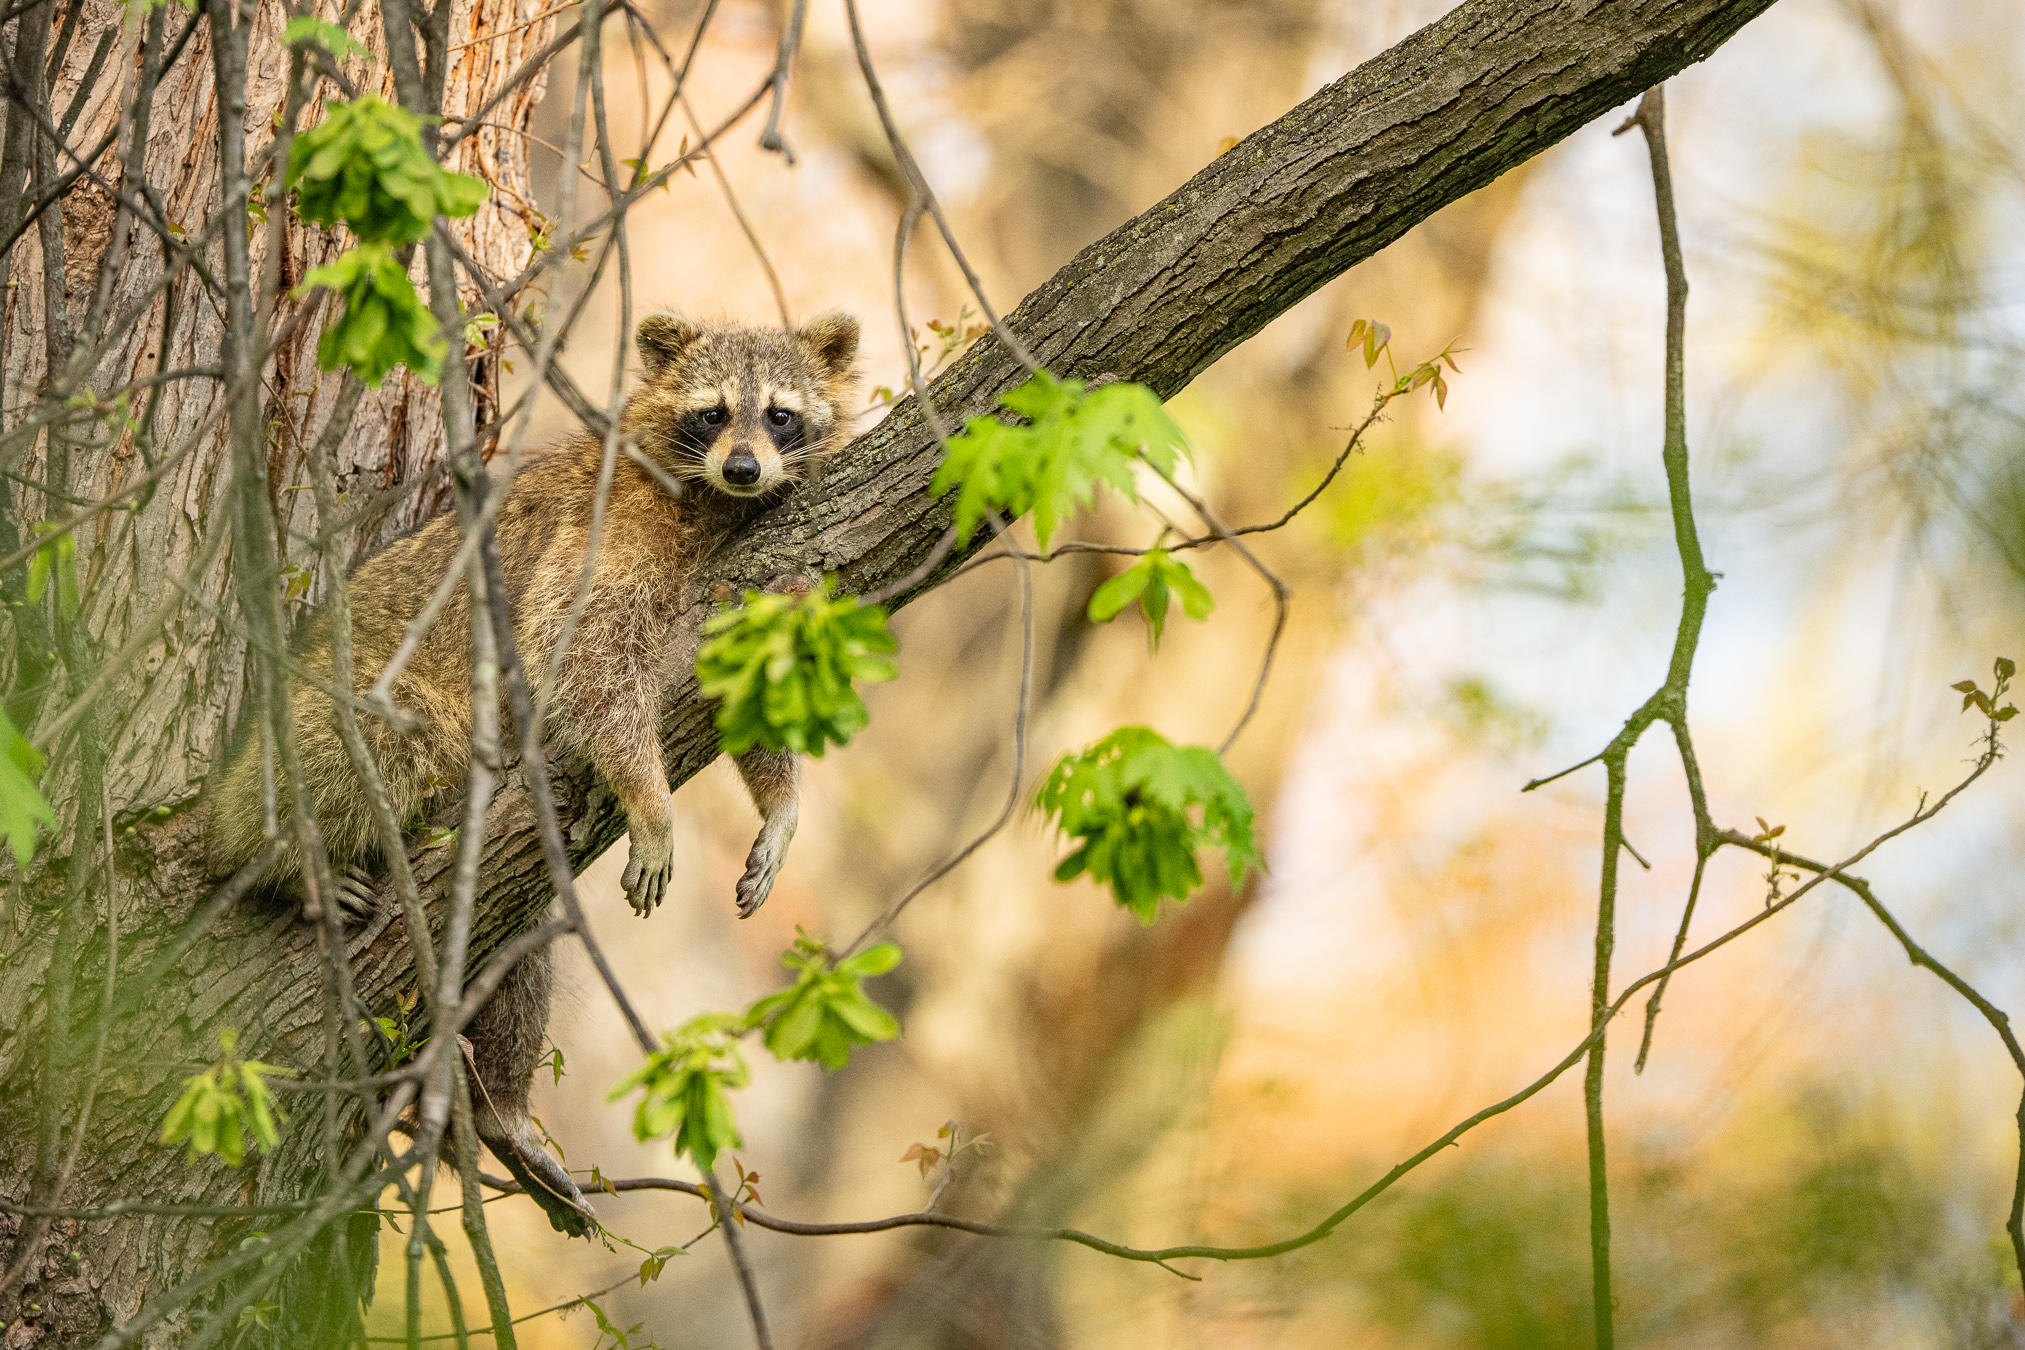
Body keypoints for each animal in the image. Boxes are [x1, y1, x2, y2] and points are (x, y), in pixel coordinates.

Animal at [205, 311, 861, 1234]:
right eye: (711, 414)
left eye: (779, 416)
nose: (743, 468)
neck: (712, 500)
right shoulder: (611, 529)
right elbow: (581, 659)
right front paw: (650, 800)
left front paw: (781, 802)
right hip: (320, 726)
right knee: (375, 734)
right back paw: (285, 857)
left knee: (516, 950)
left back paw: (501, 1111)